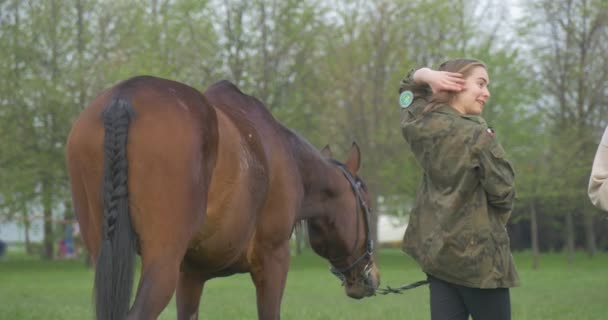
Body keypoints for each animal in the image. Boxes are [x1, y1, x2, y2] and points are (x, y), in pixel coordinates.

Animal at [66, 75, 380, 320]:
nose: (371, 276)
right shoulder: (274, 260)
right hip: (162, 262)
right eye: (367, 204)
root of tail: (122, 99)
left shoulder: (190, 275)